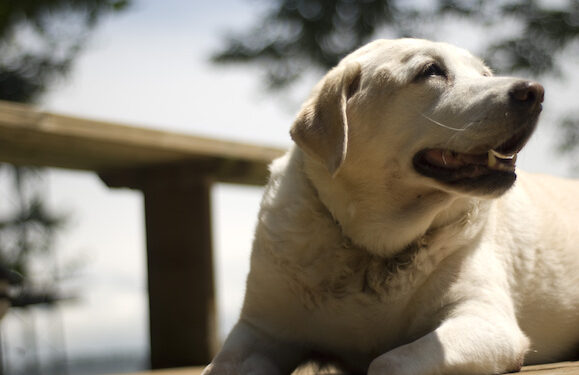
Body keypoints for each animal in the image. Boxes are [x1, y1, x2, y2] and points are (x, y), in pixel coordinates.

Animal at [205, 39, 579, 375]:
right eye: (431, 70)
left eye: (486, 73)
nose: (534, 92)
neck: (372, 249)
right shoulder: (261, 329)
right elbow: (221, 364)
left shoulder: (485, 319)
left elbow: (388, 361)